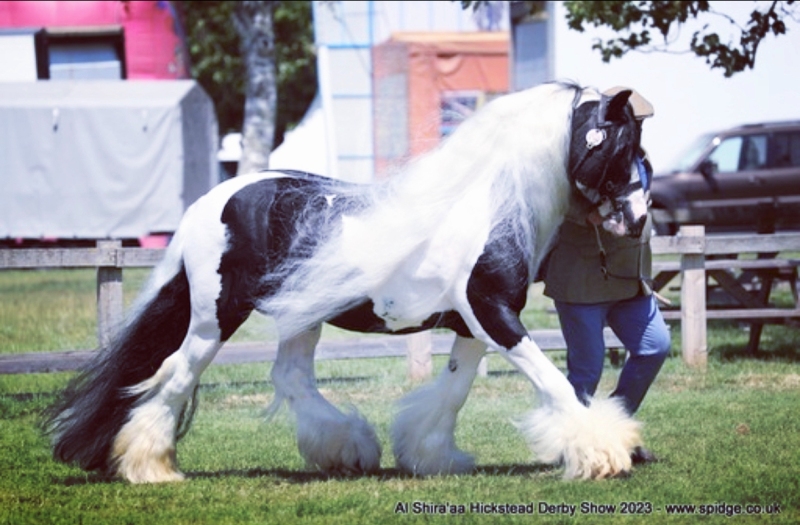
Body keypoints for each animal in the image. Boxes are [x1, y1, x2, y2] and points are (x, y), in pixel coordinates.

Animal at [44, 81, 650, 483]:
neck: (488, 207)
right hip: (216, 316)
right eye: (623, 151)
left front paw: (429, 454)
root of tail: (208, 203)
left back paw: (346, 449)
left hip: (299, 314)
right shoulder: (494, 315)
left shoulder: (472, 325)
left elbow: (453, 392)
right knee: (175, 374)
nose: (640, 221)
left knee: (289, 376)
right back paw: (151, 468)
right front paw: (605, 451)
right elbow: (552, 382)